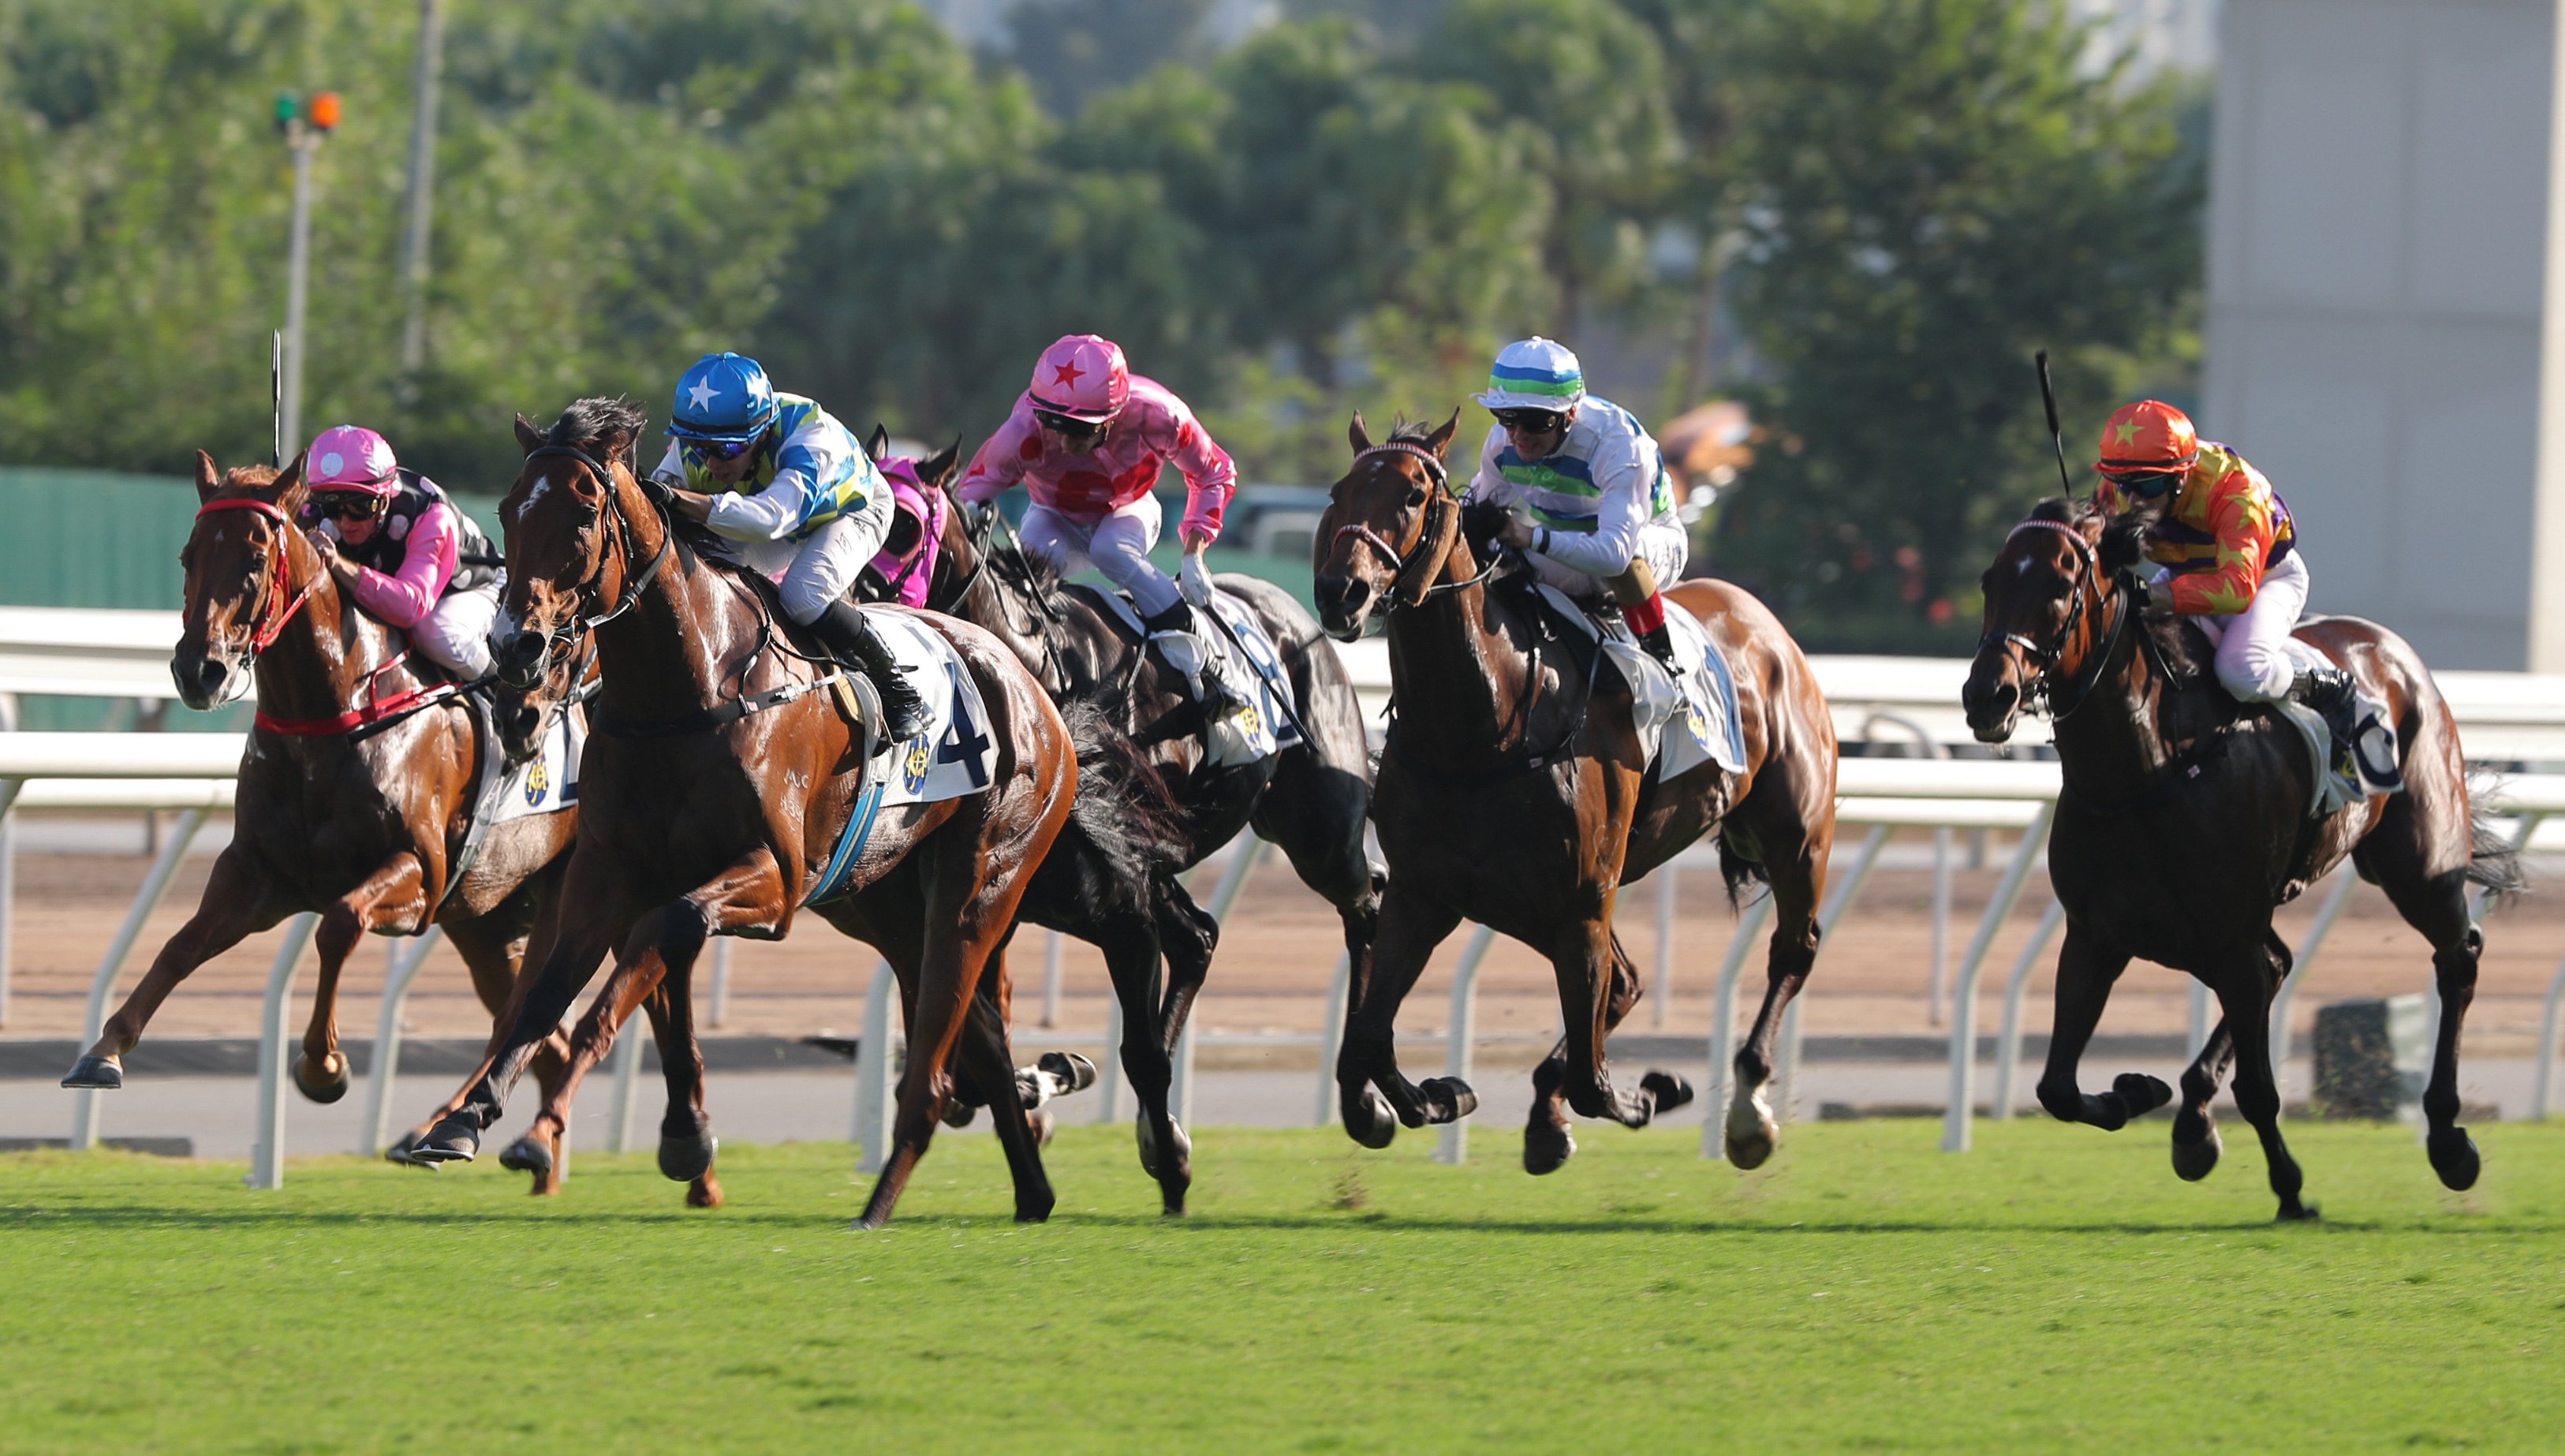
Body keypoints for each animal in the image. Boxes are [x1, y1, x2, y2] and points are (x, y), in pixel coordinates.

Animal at [61, 456, 587, 1184]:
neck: (334, 714)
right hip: (488, 923)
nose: (199, 671)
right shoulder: (258, 873)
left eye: (255, 558)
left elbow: (338, 923)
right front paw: (103, 1050)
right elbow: (179, 946)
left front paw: (323, 1065)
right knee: (540, 1037)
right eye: (188, 555)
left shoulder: (419, 872)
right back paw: (501, 1148)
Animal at [408, 392, 1082, 1225]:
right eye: (506, 509)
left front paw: (554, 1128)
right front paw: (467, 1120)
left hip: (980, 884)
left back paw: (878, 1204)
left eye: (584, 513)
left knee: (934, 1063)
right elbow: (546, 994)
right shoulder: (610, 870)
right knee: (980, 1033)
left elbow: (662, 939)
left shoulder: (775, 877)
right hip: (884, 900)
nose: (514, 649)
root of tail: (1028, 684)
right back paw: (1031, 1192)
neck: (686, 693)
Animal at [861, 433, 1385, 1204]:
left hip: (1320, 828)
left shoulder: (1109, 881)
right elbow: (970, 1044)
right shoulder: (1017, 888)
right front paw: (1041, 1085)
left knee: (1365, 901)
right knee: (1200, 940)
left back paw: (1370, 1099)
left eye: (899, 525)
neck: (1039, 670)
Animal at [1313, 413, 1836, 1174]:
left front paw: (1648, 1093)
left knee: (1791, 950)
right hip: (1539, 903)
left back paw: (1747, 1114)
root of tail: (1764, 624)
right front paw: (1437, 1097)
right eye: (1338, 490)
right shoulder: (1427, 894)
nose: (1340, 593)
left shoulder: (1583, 898)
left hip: (1795, 836)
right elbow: (1366, 1043)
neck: (1482, 725)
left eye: (1413, 495)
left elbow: (1595, 1081)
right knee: (1625, 979)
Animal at [1949, 499, 2513, 1215]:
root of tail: (2389, 648)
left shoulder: (2228, 934)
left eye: (2059, 584)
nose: (1987, 694)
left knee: (2456, 957)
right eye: (1990, 580)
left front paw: (2291, 1190)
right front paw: (2140, 1094)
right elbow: (2056, 1087)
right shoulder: (2096, 935)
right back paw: (2192, 1120)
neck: (2145, 769)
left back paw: (2447, 1139)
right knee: (2280, 964)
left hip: (2418, 864)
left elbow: (2260, 1089)